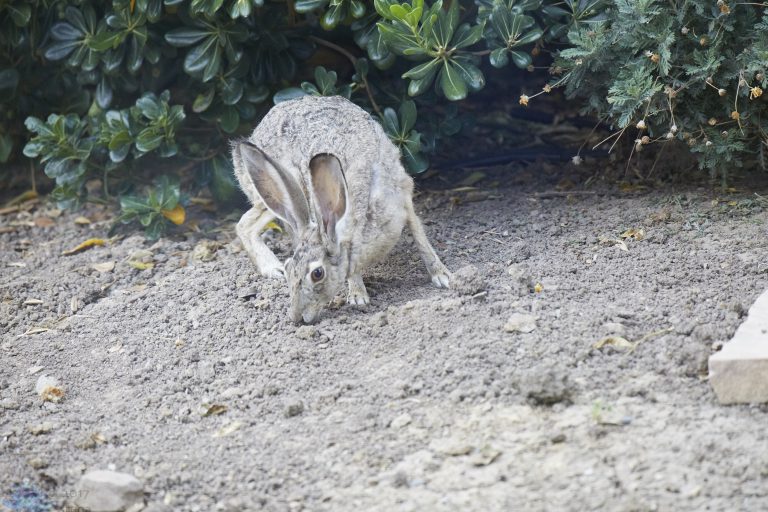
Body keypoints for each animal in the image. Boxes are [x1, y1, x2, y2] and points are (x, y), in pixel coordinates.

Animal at [231, 95, 451, 324]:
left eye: (317, 274)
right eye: (289, 268)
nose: (296, 317)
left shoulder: (403, 195)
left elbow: (420, 237)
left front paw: (442, 276)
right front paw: (357, 296)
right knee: (245, 225)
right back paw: (271, 268)